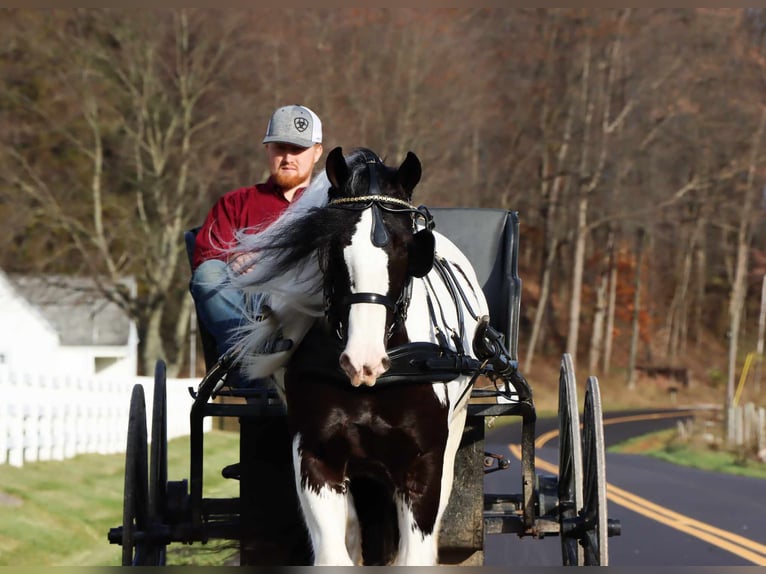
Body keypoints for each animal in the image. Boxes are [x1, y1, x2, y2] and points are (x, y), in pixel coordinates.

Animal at [231, 147, 488, 568]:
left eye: (407, 247)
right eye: (333, 246)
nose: (362, 360)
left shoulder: (422, 464)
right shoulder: (316, 458)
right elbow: (334, 554)